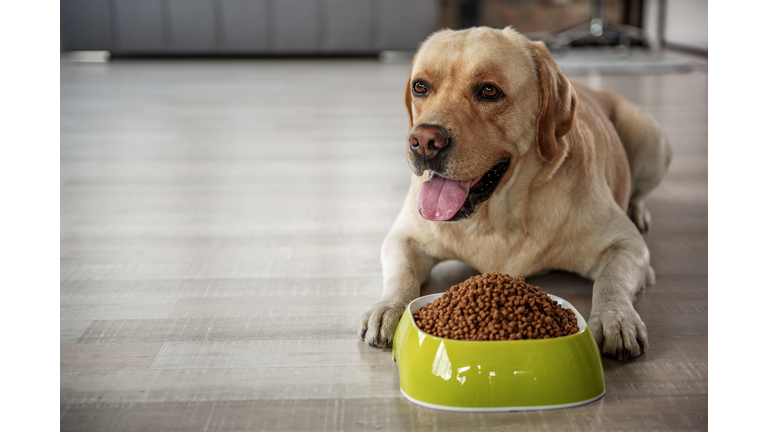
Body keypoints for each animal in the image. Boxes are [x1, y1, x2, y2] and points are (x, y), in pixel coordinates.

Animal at [356, 25, 668, 360]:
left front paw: (615, 317)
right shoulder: (403, 236)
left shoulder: (628, 244)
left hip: (652, 140)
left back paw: (638, 211)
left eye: (489, 91)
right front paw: (388, 308)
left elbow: (611, 279)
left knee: (639, 193)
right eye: (420, 87)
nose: (424, 141)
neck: (497, 220)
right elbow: (401, 274)